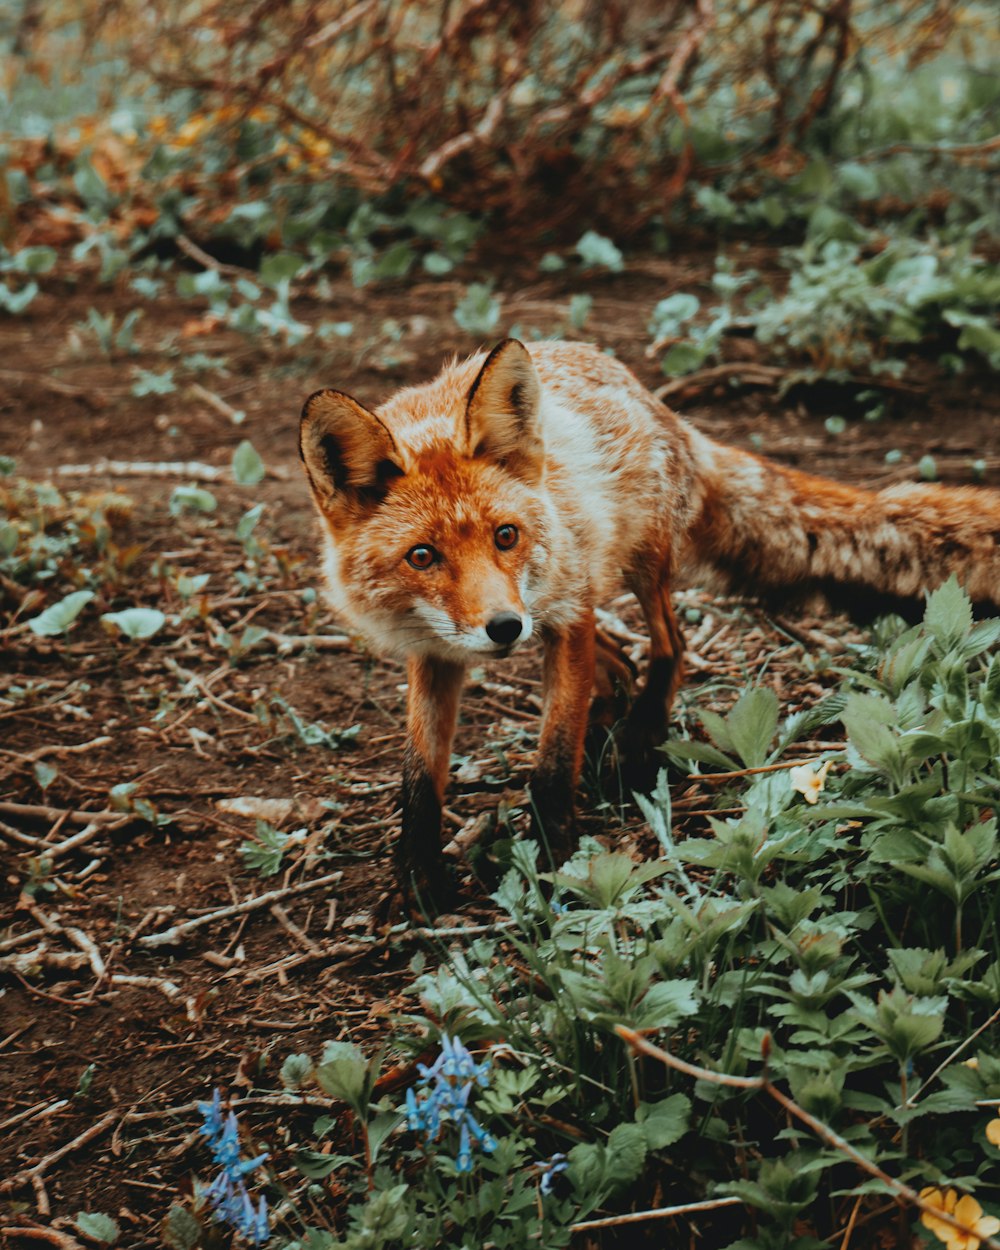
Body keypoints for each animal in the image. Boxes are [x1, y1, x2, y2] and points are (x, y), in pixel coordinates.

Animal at [298, 340, 1000, 910]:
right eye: (422, 557)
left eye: (505, 536)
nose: (502, 627)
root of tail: (656, 401)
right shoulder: (437, 654)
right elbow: (419, 779)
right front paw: (418, 878)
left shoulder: (566, 615)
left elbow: (550, 764)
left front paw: (558, 862)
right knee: (620, 657)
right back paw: (613, 712)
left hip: (641, 566)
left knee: (671, 644)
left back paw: (638, 735)